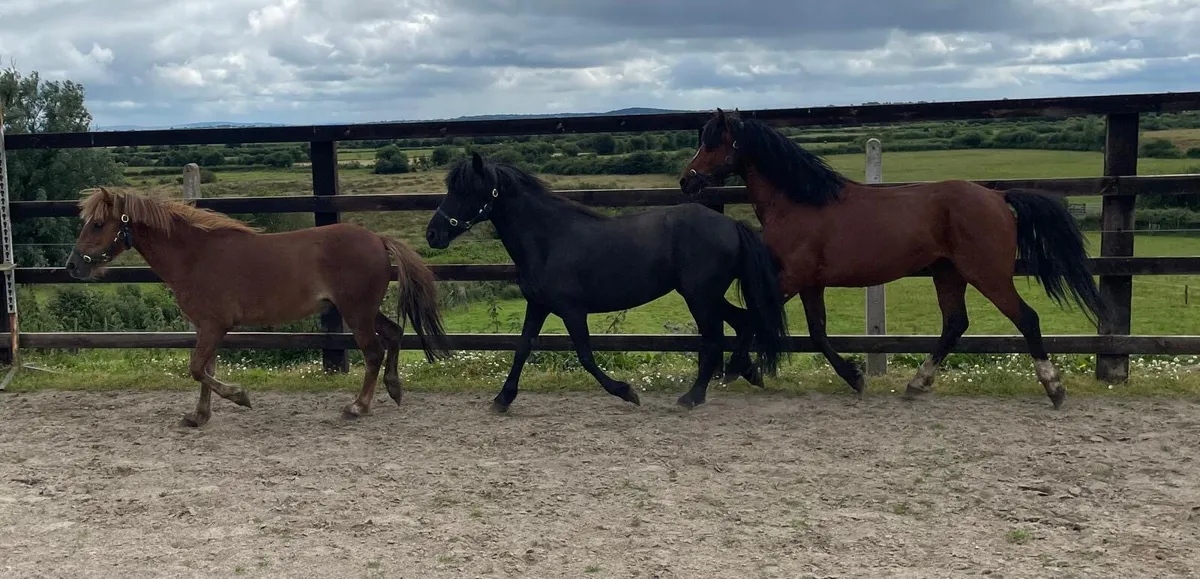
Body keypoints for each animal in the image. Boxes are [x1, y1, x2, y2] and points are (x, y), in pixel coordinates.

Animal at [65, 186, 452, 426]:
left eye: (97, 224)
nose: (72, 266)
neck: (195, 256)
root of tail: (377, 238)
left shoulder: (213, 326)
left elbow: (197, 369)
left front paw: (240, 397)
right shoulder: (207, 328)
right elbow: (205, 369)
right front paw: (198, 417)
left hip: (355, 312)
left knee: (373, 352)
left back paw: (358, 406)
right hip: (363, 309)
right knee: (394, 334)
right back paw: (394, 389)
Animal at [424, 152, 790, 411]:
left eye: (467, 190)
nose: (433, 234)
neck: (548, 239)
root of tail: (732, 225)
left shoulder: (572, 311)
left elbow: (586, 356)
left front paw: (627, 392)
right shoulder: (539, 305)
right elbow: (522, 348)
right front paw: (502, 399)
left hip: (699, 296)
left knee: (715, 338)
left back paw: (693, 397)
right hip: (706, 295)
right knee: (744, 321)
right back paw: (742, 371)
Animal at [679, 109, 1107, 409]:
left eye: (714, 142)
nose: (687, 180)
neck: (800, 203)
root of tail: (998, 197)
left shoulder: (793, 277)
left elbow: (755, 315)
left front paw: (736, 370)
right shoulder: (811, 282)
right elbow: (817, 332)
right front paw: (854, 377)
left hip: (987, 274)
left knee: (1026, 318)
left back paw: (1054, 388)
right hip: (948, 274)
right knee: (955, 324)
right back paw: (916, 385)